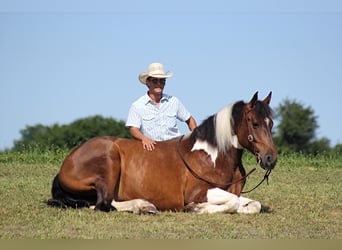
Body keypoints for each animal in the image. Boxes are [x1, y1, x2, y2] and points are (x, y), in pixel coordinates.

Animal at [48, 92, 276, 215]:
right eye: (255, 123)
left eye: (271, 123)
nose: (270, 159)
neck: (213, 156)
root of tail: (65, 165)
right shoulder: (198, 193)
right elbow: (231, 202)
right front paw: (196, 209)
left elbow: (252, 204)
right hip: (109, 161)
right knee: (103, 204)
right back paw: (143, 206)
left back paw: (144, 205)